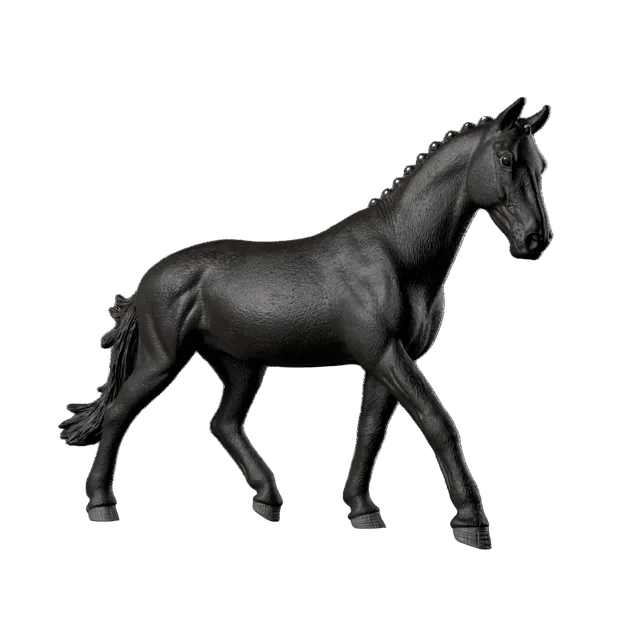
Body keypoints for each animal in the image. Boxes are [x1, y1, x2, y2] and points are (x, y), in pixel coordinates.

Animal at [58, 96, 552, 549]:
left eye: (540, 163)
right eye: (506, 160)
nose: (535, 240)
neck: (398, 252)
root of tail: (148, 281)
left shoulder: (384, 361)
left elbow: (370, 432)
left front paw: (362, 510)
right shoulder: (385, 354)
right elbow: (438, 423)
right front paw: (471, 522)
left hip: (242, 366)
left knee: (222, 424)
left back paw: (267, 498)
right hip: (163, 359)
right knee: (121, 412)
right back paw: (101, 504)